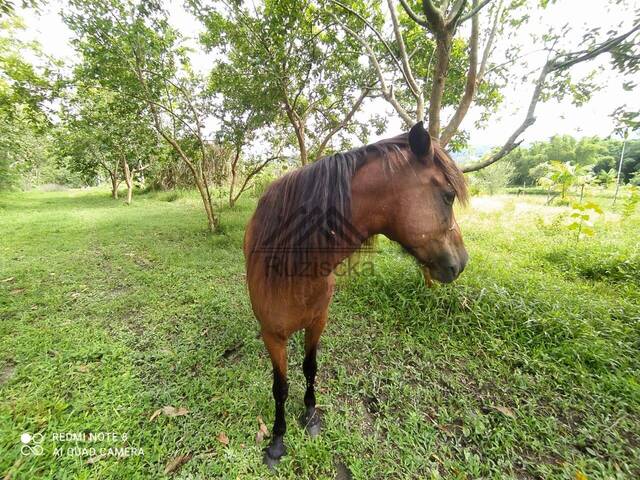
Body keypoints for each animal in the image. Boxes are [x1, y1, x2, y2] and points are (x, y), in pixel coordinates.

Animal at [242, 122, 468, 466]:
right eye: (448, 195)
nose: (462, 262)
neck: (295, 266)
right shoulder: (273, 336)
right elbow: (279, 388)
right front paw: (277, 441)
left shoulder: (317, 323)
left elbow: (310, 368)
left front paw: (310, 415)